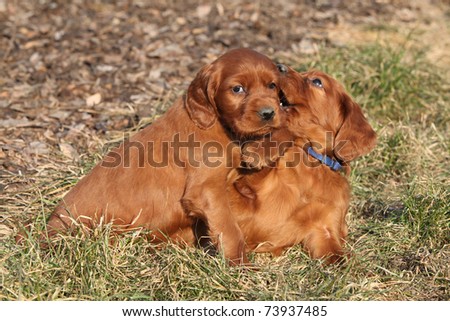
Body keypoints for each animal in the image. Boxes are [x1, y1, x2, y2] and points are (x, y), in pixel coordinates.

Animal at [46, 47, 284, 262]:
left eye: (272, 85)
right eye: (237, 89)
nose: (269, 113)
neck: (217, 122)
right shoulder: (206, 190)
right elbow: (229, 228)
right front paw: (241, 265)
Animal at [229, 65, 376, 262]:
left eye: (317, 81)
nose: (278, 66)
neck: (313, 162)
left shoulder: (324, 232)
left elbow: (342, 260)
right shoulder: (244, 187)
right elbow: (286, 129)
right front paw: (261, 150)